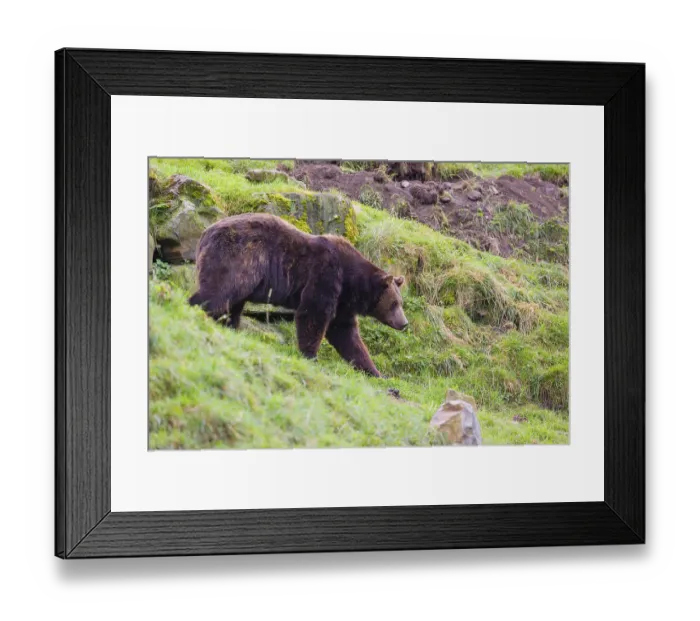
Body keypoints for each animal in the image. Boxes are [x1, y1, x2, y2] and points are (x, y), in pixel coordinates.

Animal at [189, 213, 408, 378]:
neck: (351, 282)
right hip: (238, 258)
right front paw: (310, 355)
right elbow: (313, 314)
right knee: (218, 292)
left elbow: (346, 334)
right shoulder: (326, 275)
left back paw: (229, 326)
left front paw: (374, 371)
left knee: (232, 304)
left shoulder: (342, 301)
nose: (404, 323)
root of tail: (205, 233)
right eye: (394, 303)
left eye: (400, 302)